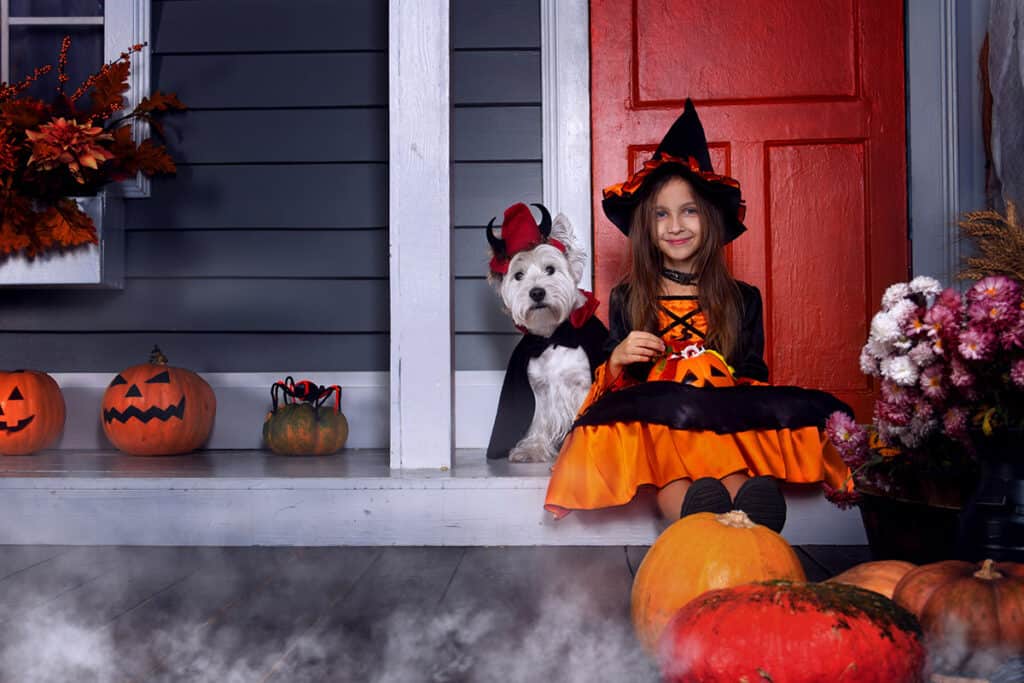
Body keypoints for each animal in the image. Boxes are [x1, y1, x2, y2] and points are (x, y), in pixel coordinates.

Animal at [481, 200, 602, 462]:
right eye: (518, 275)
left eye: (550, 269)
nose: (536, 292)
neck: (553, 336)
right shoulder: (540, 390)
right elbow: (538, 421)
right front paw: (532, 449)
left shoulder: (583, 386)